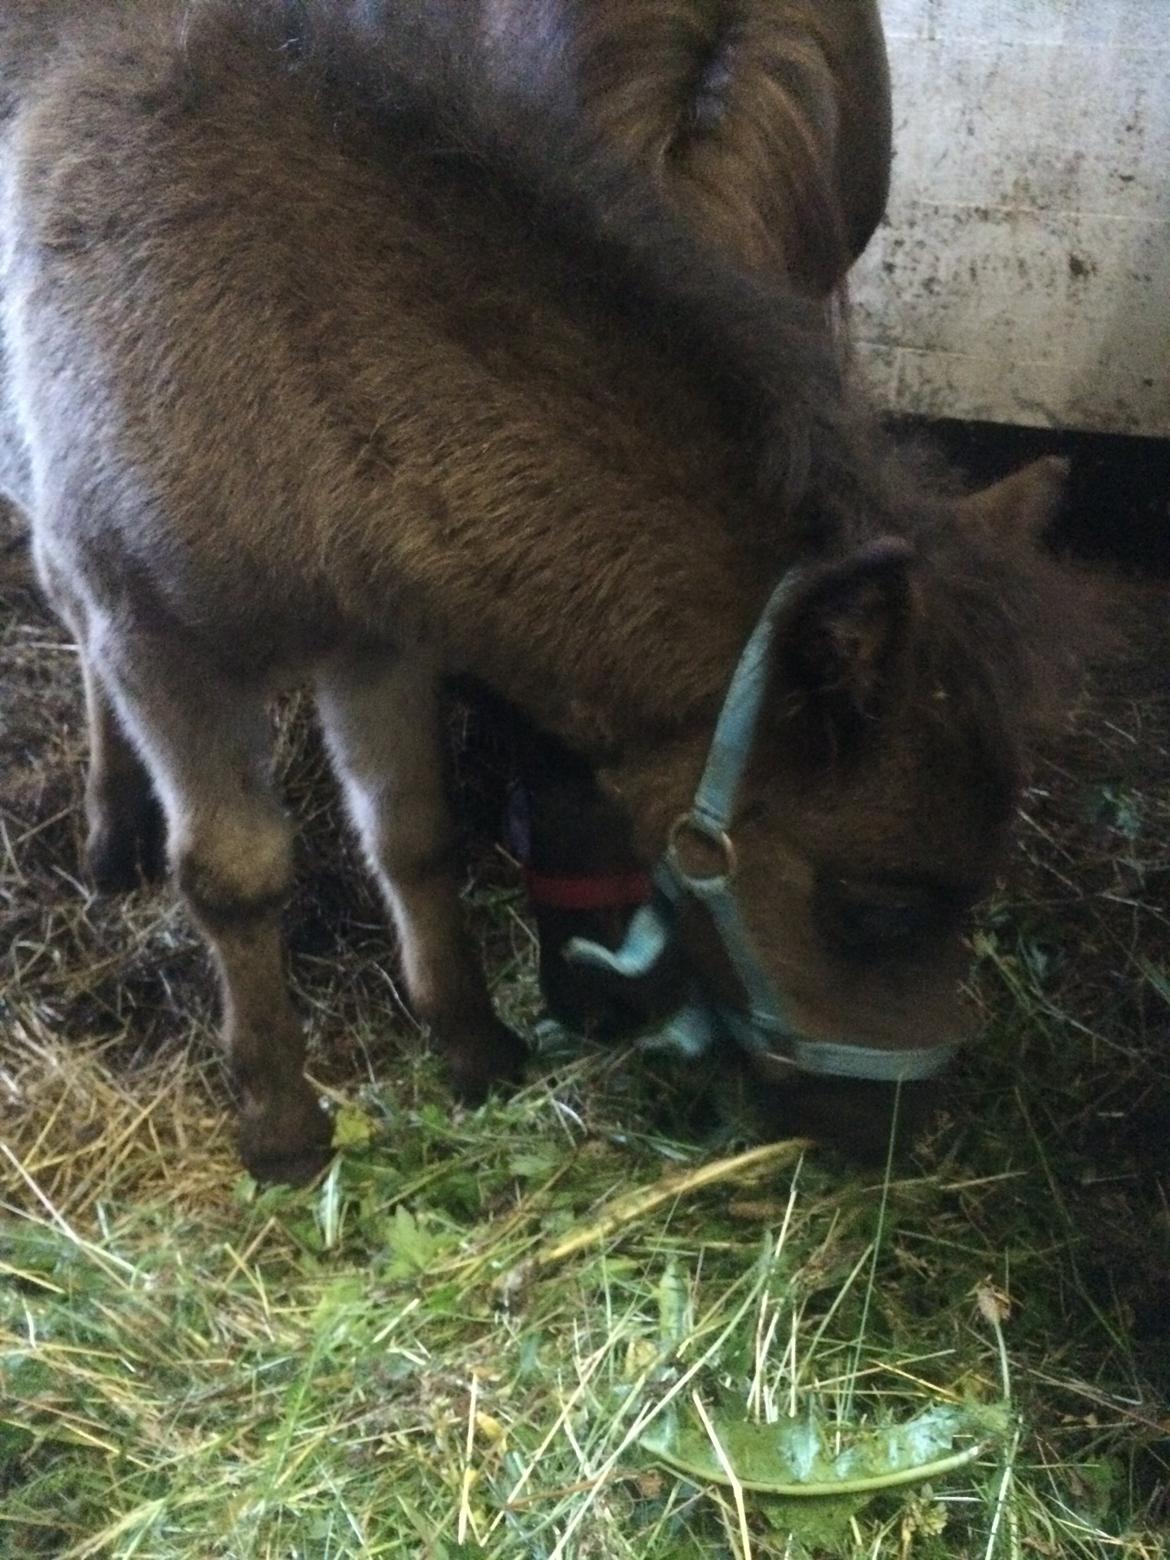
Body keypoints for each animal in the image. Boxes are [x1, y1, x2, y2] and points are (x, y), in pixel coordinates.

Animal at [0, 0, 1085, 1173]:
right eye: (876, 906)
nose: (899, 1136)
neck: (281, 354)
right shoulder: (162, 644)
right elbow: (235, 875)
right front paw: (284, 1128)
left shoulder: (374, 642)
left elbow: (414, 833)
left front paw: (474, 1044)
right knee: (67, 607)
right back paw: (114, 826)